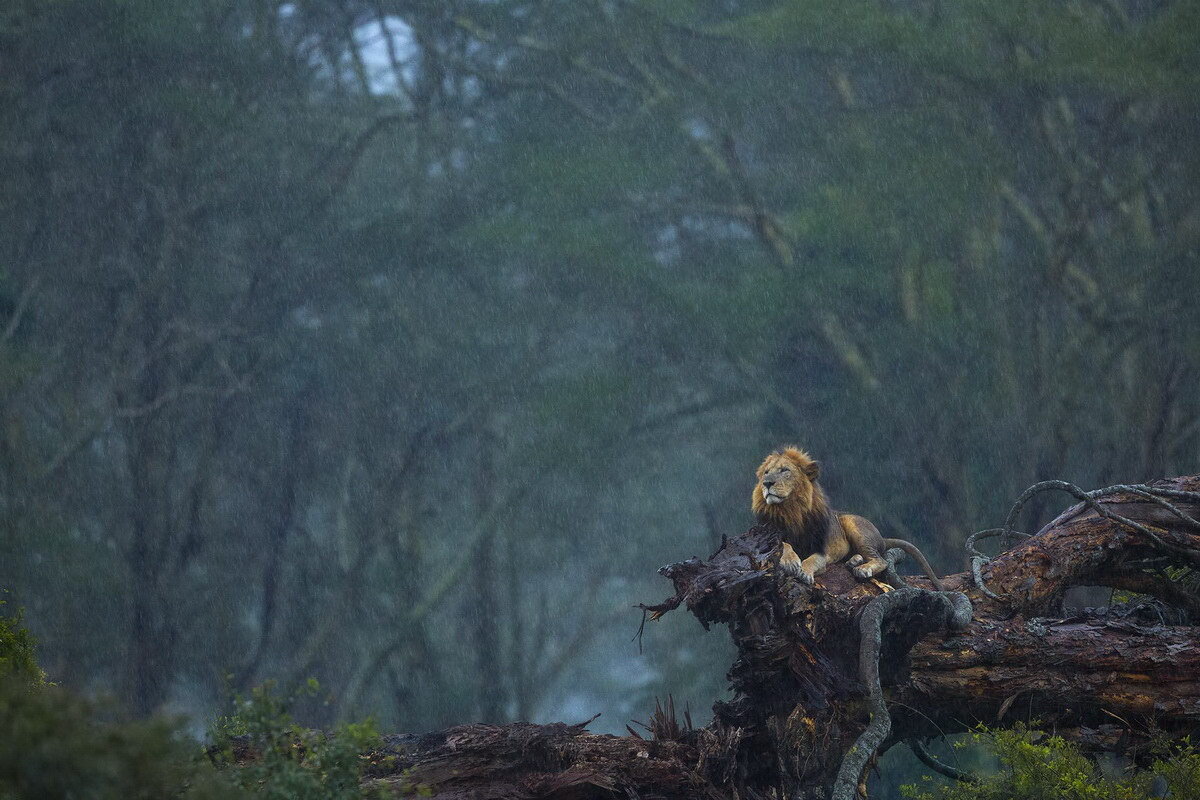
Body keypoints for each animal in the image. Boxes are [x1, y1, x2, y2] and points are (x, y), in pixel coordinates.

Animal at [748, 448, 945, 592]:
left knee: (880, 559)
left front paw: (803, 571)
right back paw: (854, 561)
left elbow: (812, 560)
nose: (767, 483)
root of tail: (882, 537)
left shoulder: (822, 551)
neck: (790, 512)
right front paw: (790, 561)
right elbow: (785, 545)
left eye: (784, 470)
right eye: (766, 472)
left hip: (852, 523)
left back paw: (862, 568)